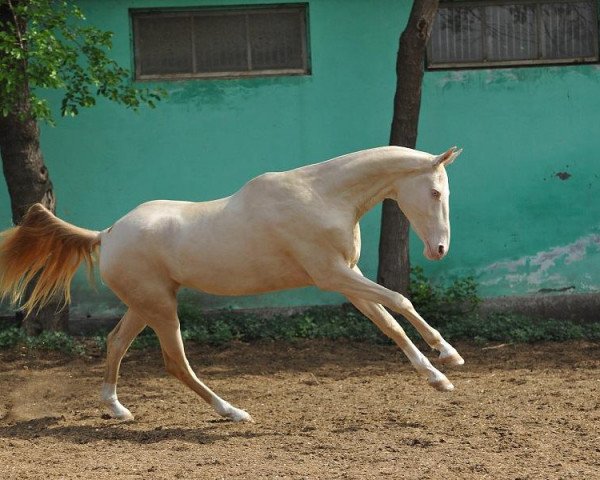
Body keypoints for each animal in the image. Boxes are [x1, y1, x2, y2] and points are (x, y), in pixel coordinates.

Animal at [0, 144, 464, 422]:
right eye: (436, 192)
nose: (440, 249)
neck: (322, 196)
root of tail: (106, 234)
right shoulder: (333, 275)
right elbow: (401, 301)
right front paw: (449, 355)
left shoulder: (350, 278)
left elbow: (390, 324)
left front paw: (438, 377)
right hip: (161, 309)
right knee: (176, 363)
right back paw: (232, 412)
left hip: (146, 305)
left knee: (115, 343)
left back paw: (118, 409)